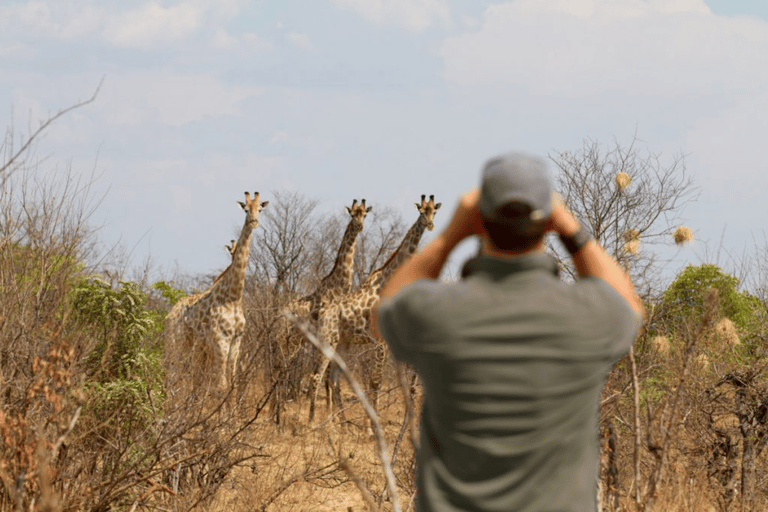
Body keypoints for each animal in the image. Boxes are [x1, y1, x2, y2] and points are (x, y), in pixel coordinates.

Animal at [164, 192, 268, 396]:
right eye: (246, 209)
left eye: (259, 209)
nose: (254, 222)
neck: (233, 297)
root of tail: (169, 314)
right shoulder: (221, 340)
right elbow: (221, 385)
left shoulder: (236, 342)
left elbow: (232, 384)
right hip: (175, 342)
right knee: (174, 372)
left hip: (195, 347)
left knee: (192, 377)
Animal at [308, 194, 440, 422]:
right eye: (422, 211)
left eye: (434, 211)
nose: (430, 224)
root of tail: (323, 312)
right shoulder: (380, 342)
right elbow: (375, 382)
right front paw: (372, 426)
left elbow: (381, 383)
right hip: (327, 339)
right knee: (317, 376)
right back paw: (312, 422)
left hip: (343, 343)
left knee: (333, 379)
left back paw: (340, 424)